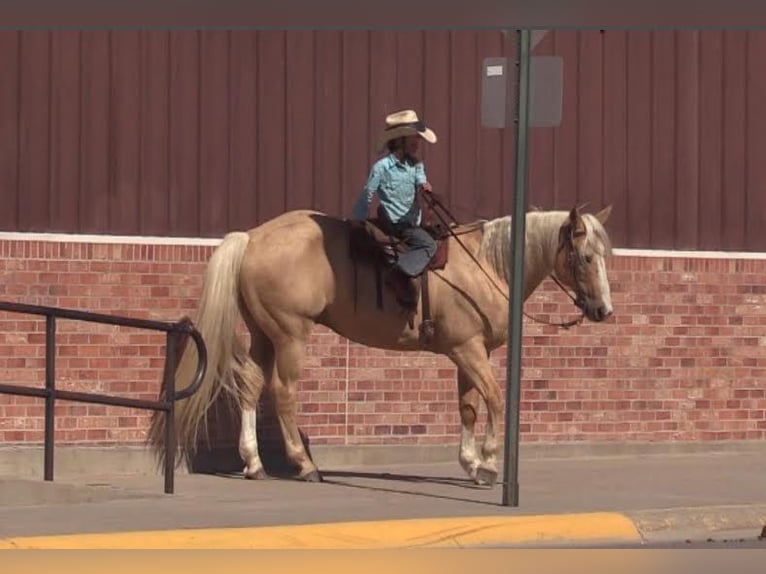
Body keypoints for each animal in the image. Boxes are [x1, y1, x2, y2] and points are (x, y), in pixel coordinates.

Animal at [147, 205, 616, 488]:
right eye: (586, 257)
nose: (604, 311)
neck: (488, 264)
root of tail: (252, 237)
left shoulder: (469, 351)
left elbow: (468, 406)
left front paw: (469, 462)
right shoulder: (468, 350)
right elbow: (496, 400)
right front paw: (488, 463)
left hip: (264, 333)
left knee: (250, 386)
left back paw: (254, 463)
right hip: (290, 335)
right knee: (283, 392)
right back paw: (304, 464)